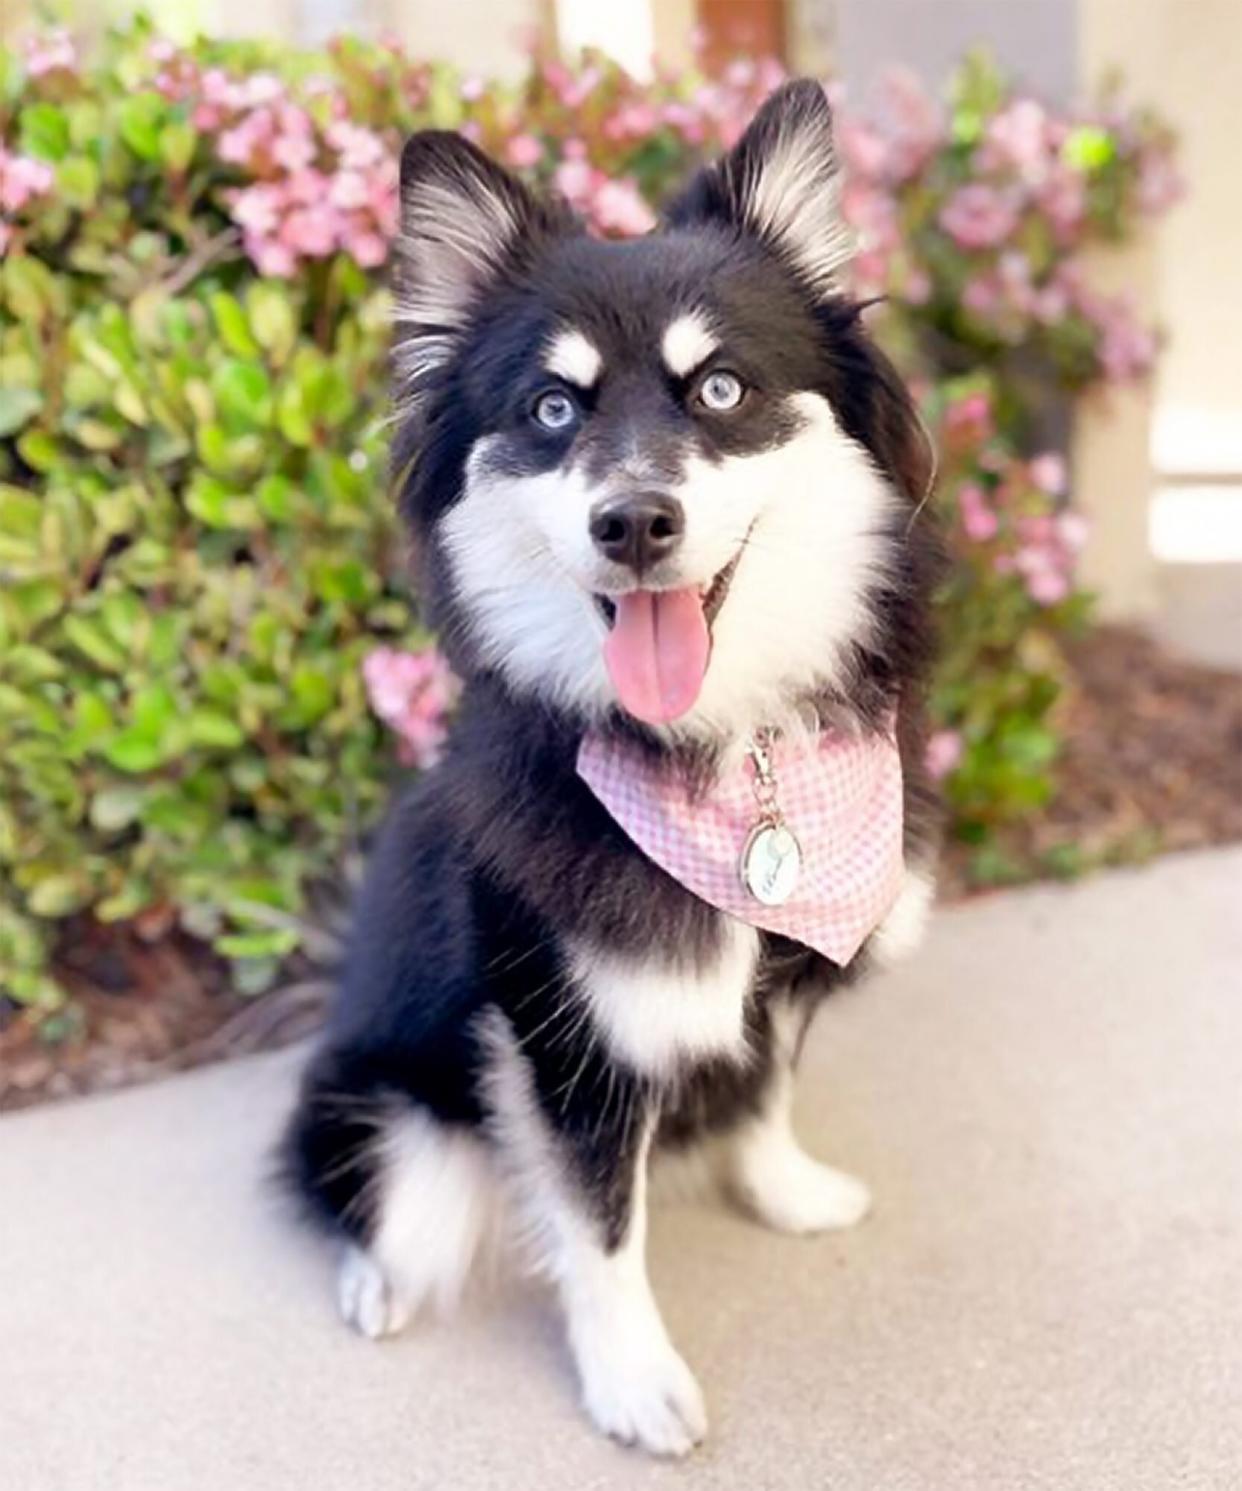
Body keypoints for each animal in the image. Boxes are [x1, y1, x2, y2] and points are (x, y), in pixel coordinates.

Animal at [280, 81, 942, 1455]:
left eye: (724, 389)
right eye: (551, 410)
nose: (633, 521)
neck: (726, 763)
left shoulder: (776, 980)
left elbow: (762, 1088)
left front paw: (782, 1188)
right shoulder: (562, 1038)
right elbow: (599, 1228)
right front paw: (633, 1378)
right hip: (393, 1121)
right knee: (378, 1204)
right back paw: (376, 1282)